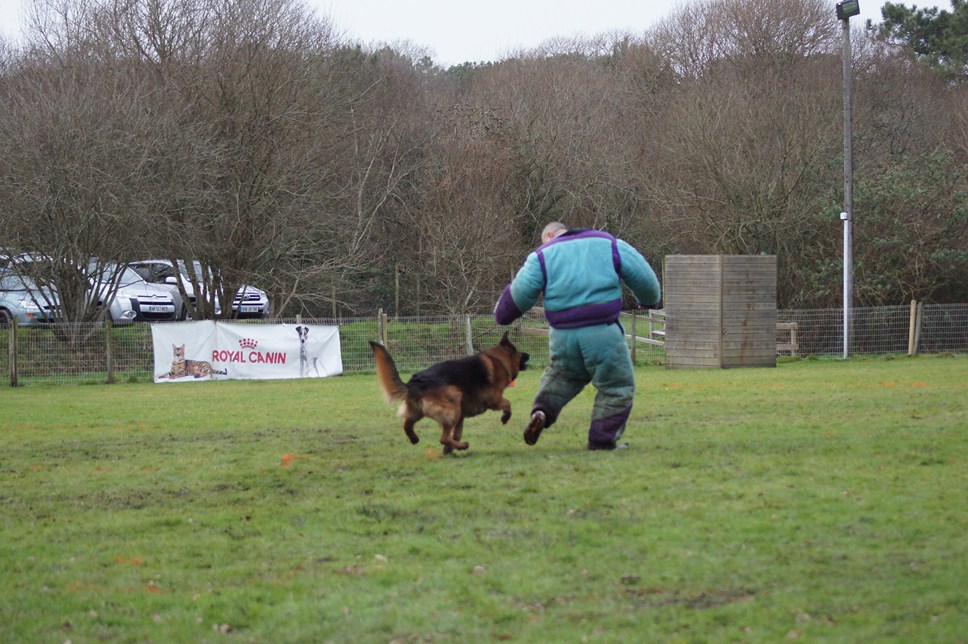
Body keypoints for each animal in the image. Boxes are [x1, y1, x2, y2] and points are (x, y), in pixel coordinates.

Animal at [370, 332, 528, 452]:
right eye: (518, 351)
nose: (528, 354)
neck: (499, 359)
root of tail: (416, 382)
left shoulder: (462, 417)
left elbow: (457, 433)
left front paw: (449, 449)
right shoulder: (494, 399)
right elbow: (508, 403)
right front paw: (505, 417)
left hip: (419, 412)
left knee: (407, 425)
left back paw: (415, 439)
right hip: (454, 404)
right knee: (443, 437)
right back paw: (463, 445)